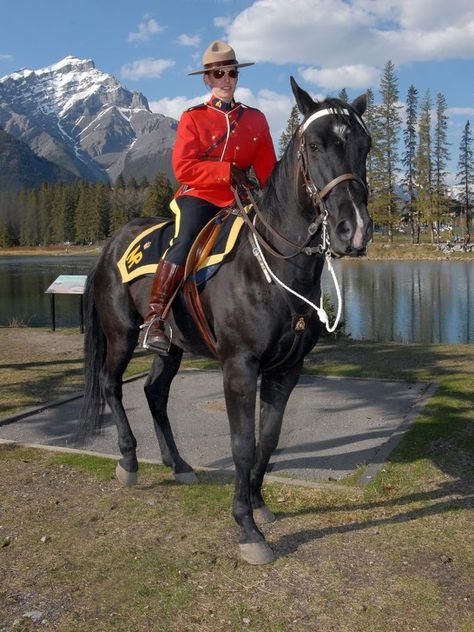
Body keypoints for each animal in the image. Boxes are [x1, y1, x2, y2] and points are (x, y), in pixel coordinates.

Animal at [78, 76, 374, 564]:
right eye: (315, 145)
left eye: (365, 146)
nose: (356, 230)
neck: (272, 265)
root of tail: (111, 243)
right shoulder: (239, 367)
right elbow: (242, 444)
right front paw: (246, 527)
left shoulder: (287, 369)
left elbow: (269, 439)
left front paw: (258, 502)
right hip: (120, 335)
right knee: (111, 385)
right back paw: (129, 461)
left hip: (171, 347)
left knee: (154, 393)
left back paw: (178, 464)